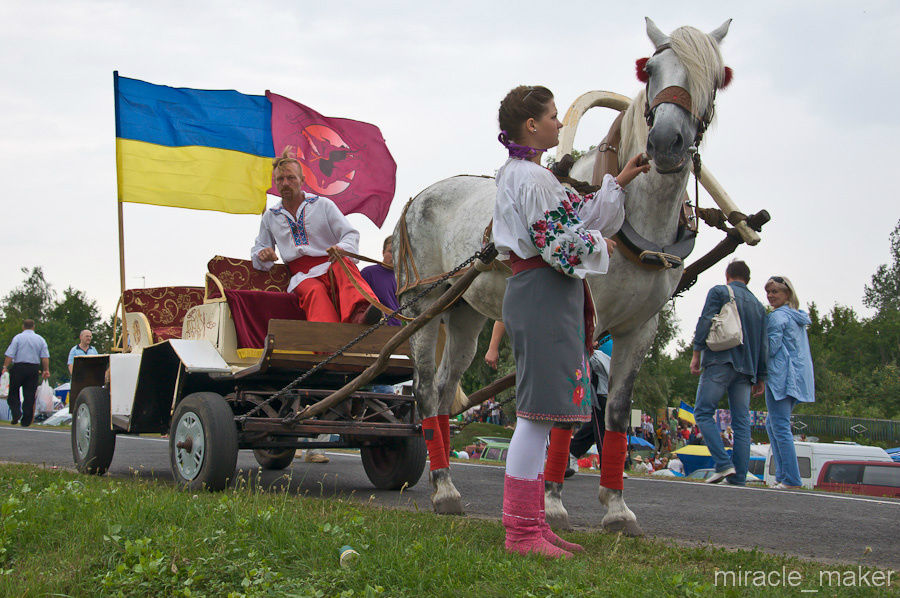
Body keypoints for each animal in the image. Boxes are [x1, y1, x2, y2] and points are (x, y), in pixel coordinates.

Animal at [398, 17, 736, 536]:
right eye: (650, 70)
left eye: (713, 78)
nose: (665, 143)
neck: (637, 219)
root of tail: (420, 195)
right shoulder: (580, 315)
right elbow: (567, 412)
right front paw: (553, 503)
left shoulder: (642, 327)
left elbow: (615, 414)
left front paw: (616, 507)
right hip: (425, 307)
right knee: (423, 392)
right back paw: (444, 489)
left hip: (463, 314)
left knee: (441, 390)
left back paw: (446, 481)